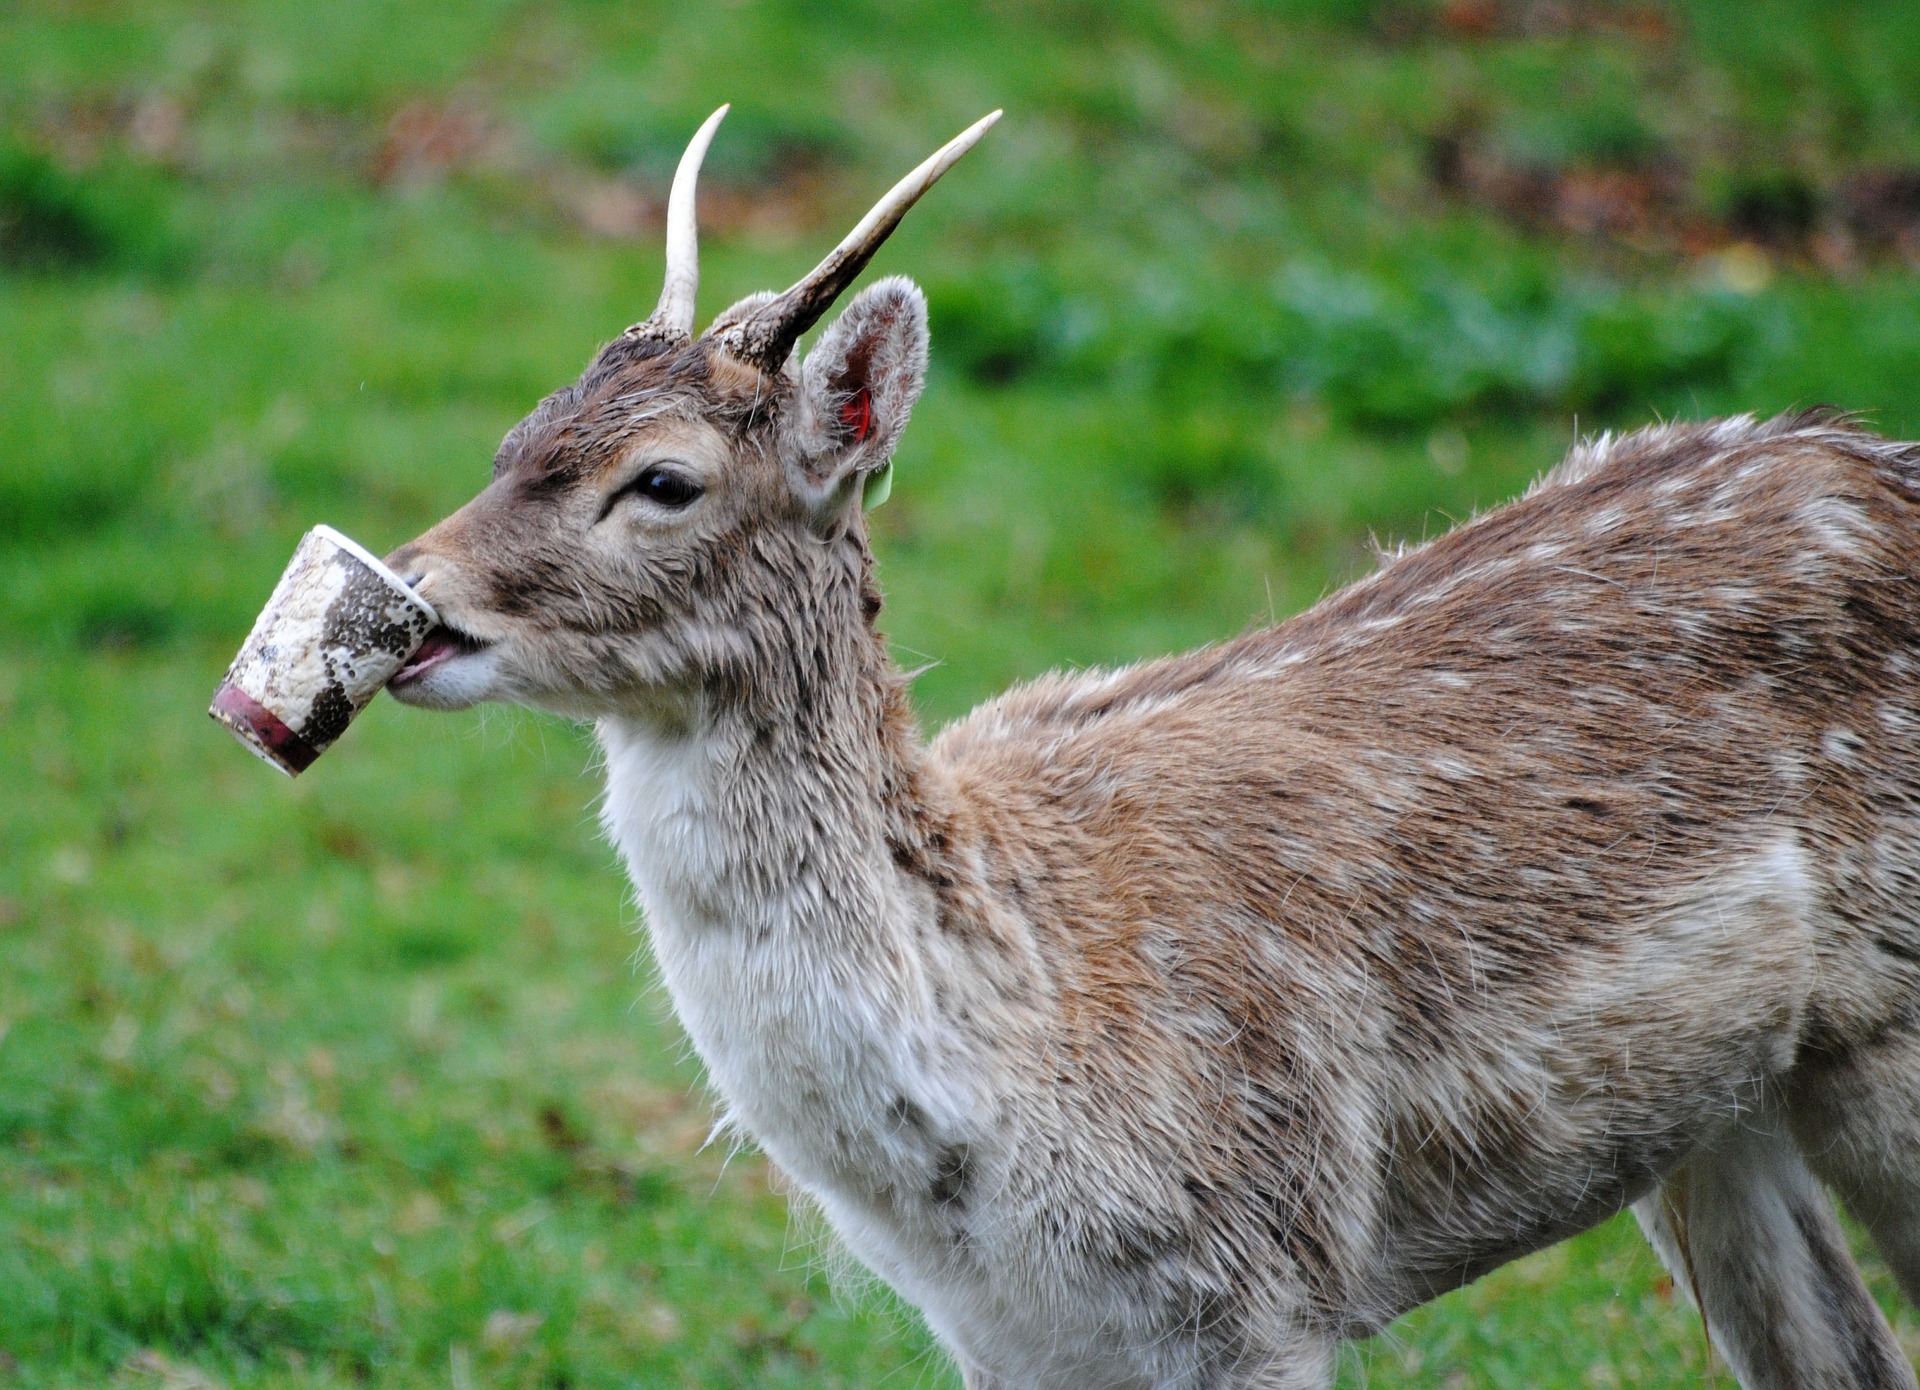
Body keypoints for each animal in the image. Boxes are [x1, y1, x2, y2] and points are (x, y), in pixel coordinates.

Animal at [378, 108, 1920, 1390]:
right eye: (518, 432)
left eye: (663, 480)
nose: (411, 600)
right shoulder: (1016, 1345)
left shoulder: (1268, 1284)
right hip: (1716, 1113)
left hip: (1886, 1033)